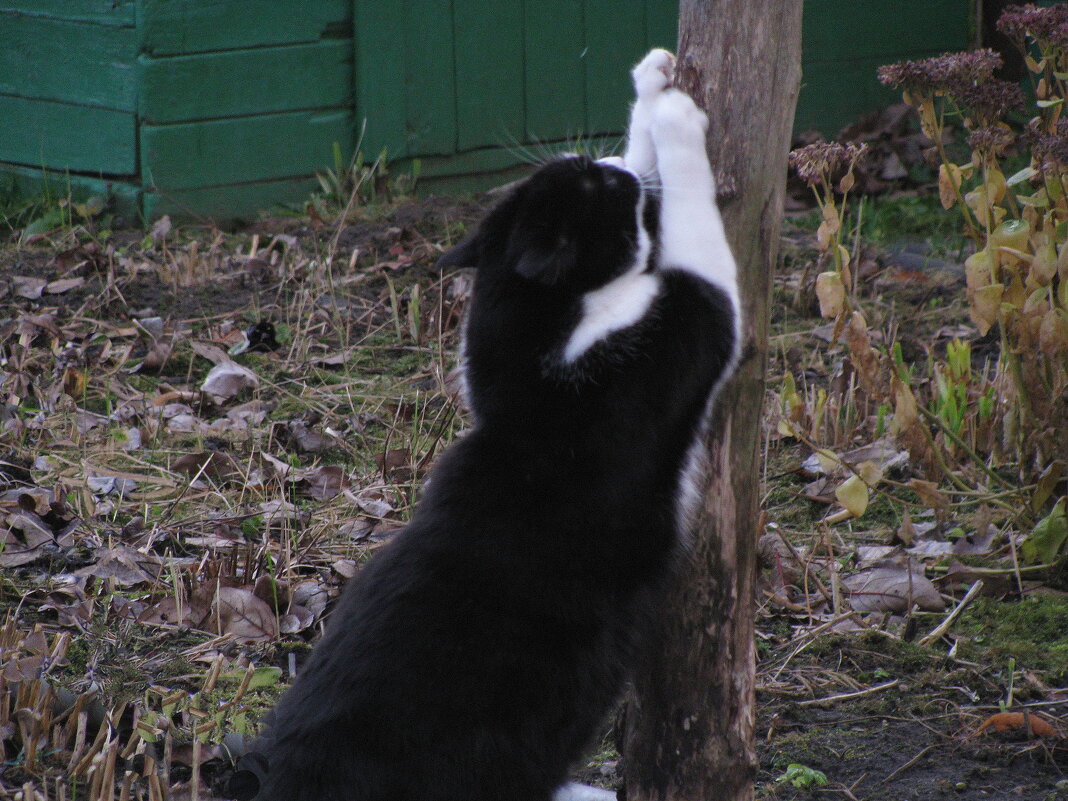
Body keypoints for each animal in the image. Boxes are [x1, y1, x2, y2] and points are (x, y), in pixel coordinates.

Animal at [238, 48, 739, 801]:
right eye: (595, 186)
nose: (607, 165)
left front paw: (651, 88)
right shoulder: (688, 321)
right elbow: (693, 225)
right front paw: (676, 121)